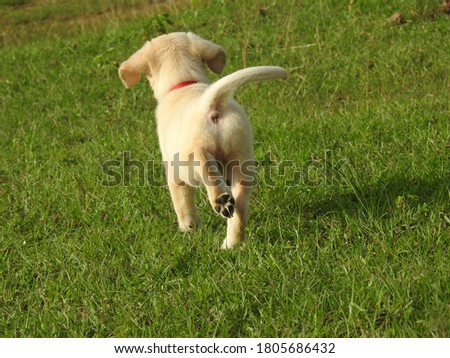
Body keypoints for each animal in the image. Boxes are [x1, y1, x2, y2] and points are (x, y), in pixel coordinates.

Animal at [118, 31, 288, 249]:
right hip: (241, 158)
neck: (184, 82)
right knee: (239, 209)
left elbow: (184, 207)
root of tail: (209, 105)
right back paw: (230, 244)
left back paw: (220, 200)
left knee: (204, 165)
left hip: (190, 160)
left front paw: (190, 231)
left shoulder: (174, 175)